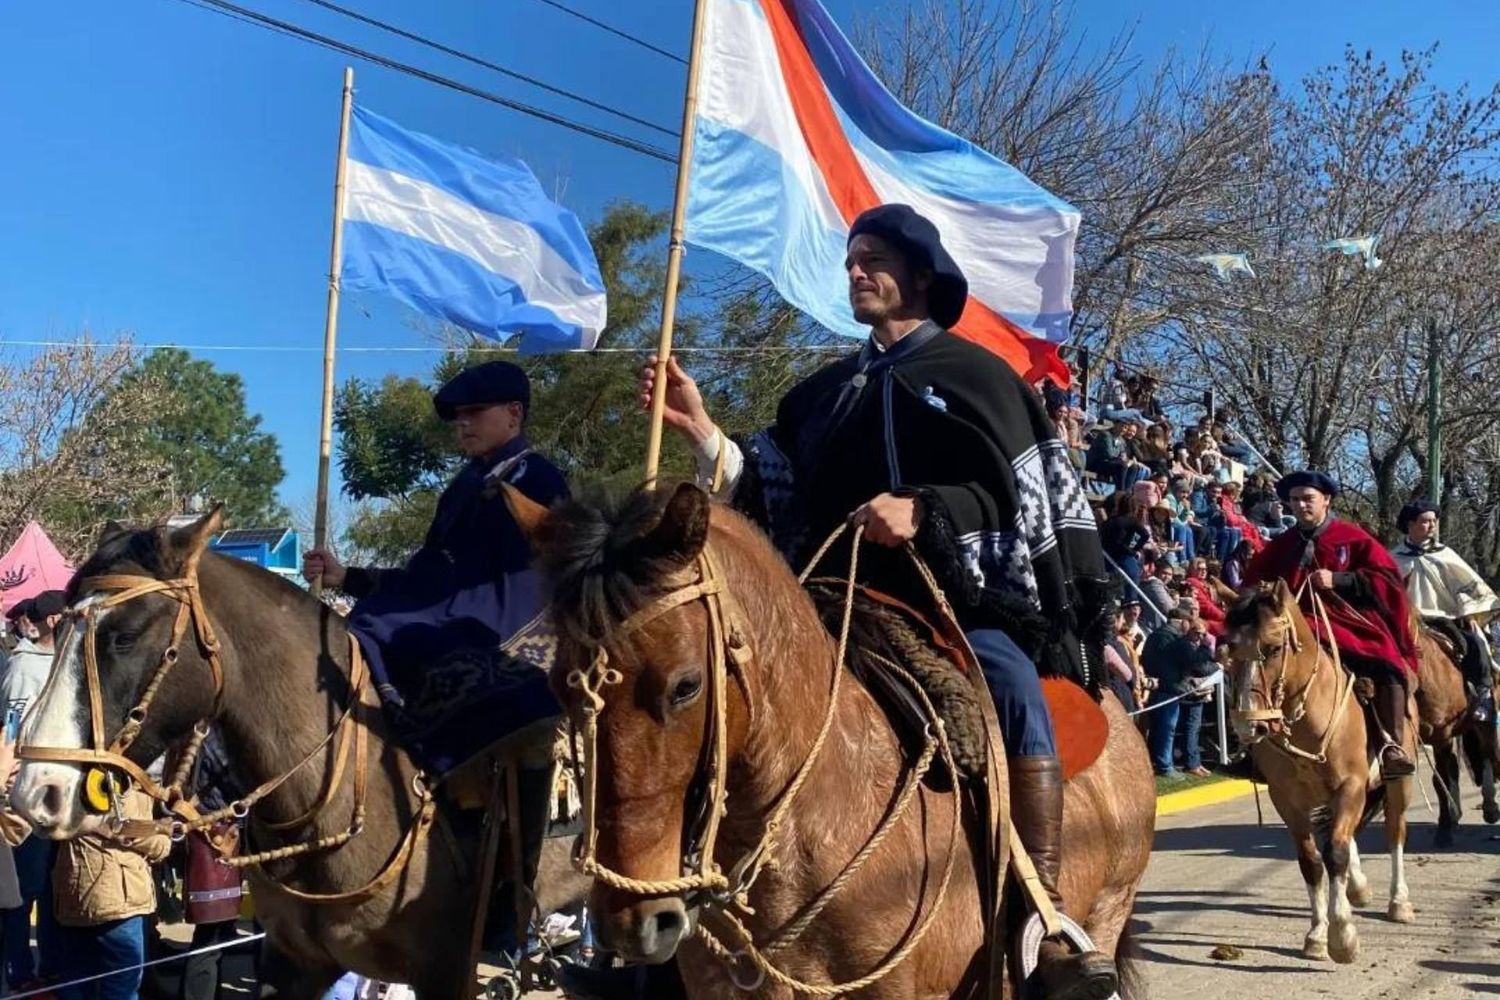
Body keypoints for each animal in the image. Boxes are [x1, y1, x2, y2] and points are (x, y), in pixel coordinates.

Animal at [1224, 581, 1410, 965]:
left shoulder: (1351, 786)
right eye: (1229, 650)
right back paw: (1358, 887)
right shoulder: (1287, 799)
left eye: (1273, 647)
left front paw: (1342, 936)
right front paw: (1317, 934)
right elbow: (1312, 861)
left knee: (1394, 833)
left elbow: (1335, 852)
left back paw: (1399, 901)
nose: (1249, 725)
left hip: (1397, 784)